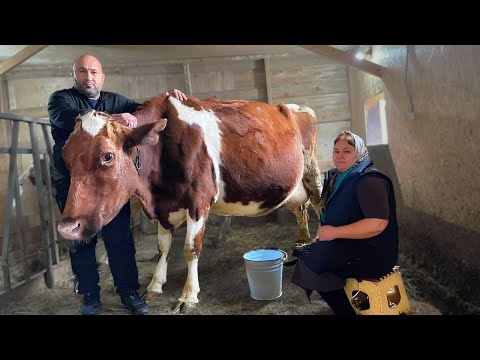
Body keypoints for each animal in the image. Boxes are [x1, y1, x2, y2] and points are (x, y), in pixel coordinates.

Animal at [59, 94, 322, 314]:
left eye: (108, 156)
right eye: (65, 156)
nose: (67, 228)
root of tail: (295, 106)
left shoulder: (199, 201)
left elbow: (190, 248)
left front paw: (188, 296)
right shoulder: (164, 207)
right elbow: (162, 248)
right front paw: (155, 286)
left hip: (312, 172)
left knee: (319, 205)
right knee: (300, 208)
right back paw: (301, 242)